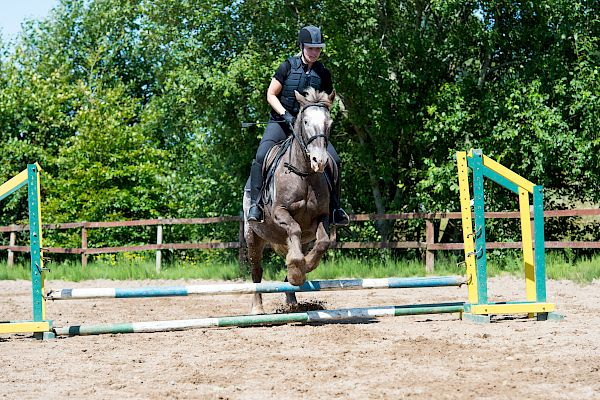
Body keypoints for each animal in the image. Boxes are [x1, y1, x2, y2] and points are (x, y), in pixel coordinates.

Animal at [244, 88, 338, 316]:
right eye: (305, 121)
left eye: (329, 123)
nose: (319, 161)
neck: (304, 174)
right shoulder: (280, 212)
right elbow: (294, 228)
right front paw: (297, 270)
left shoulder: (322, 216)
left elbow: (323, 242)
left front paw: (305, 267)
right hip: (252, 235)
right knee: (256, 270)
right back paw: (257, 308)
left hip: (302, 239)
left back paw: (291, 300)